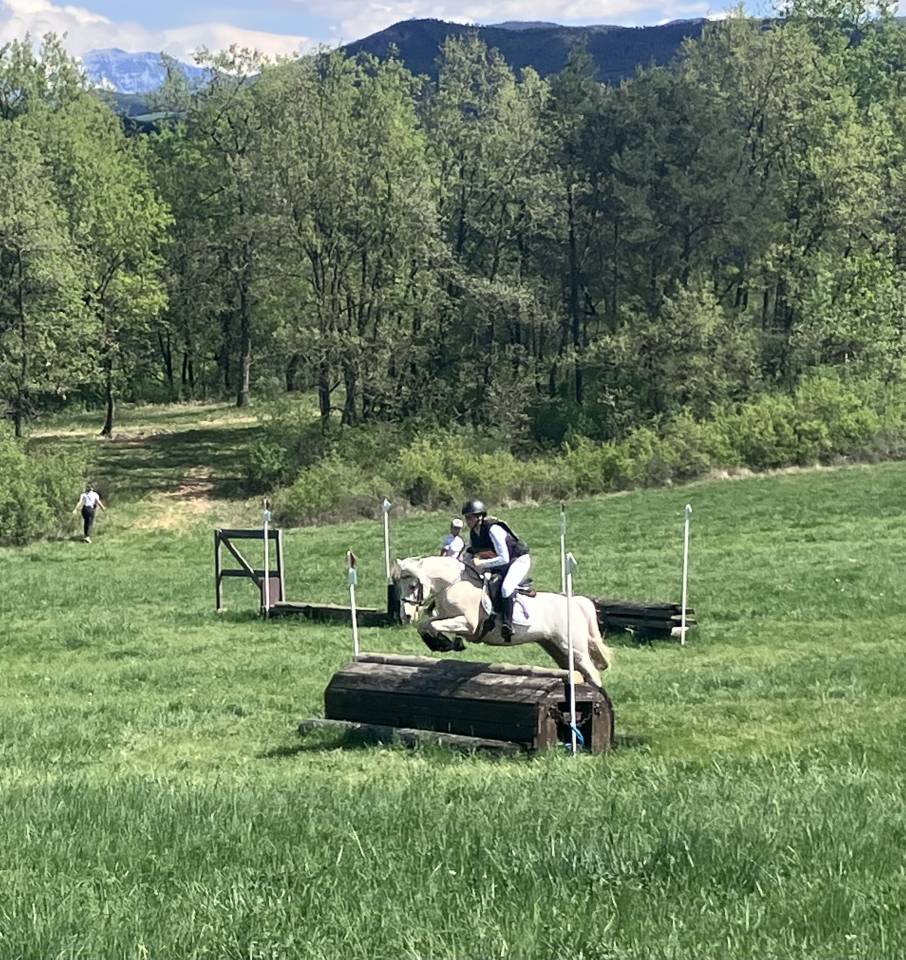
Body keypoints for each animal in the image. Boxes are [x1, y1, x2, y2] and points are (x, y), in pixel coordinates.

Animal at [390, 555, 613, 689]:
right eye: (399, 586)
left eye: (413, 586)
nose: (406, 616)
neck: (452, 585)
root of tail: (575, 602)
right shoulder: (445, 617)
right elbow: (427, 625)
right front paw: (443, 643)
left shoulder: (468, 624)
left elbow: (433, 625)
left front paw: (444, 643)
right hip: (555, 647)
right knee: (578, 670)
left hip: (573, 646)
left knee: (592, 671)